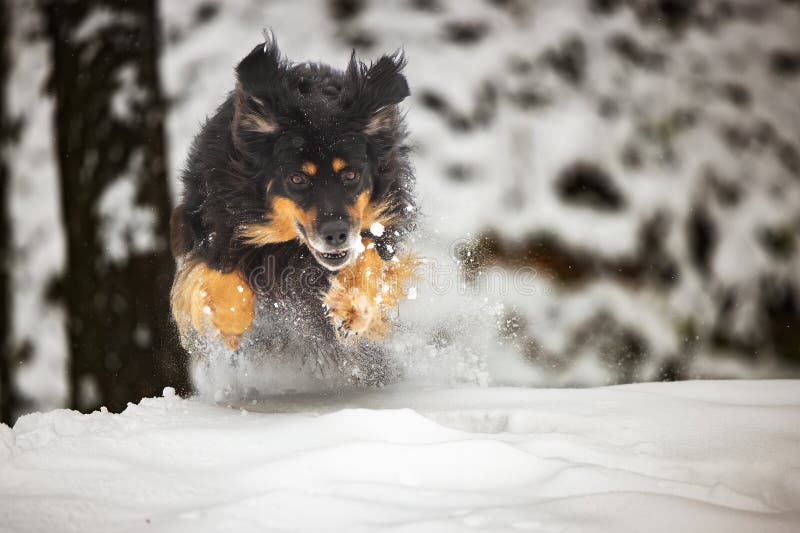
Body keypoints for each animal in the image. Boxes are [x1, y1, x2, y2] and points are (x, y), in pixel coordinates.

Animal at [170, 32, 418, 382]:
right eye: (298, 178)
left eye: (351, 174)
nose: (336, 235)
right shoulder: (208, 224)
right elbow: (222, 273)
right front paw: (230, 324)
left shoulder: (380, 230)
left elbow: (368, 258)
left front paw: (352, 304)